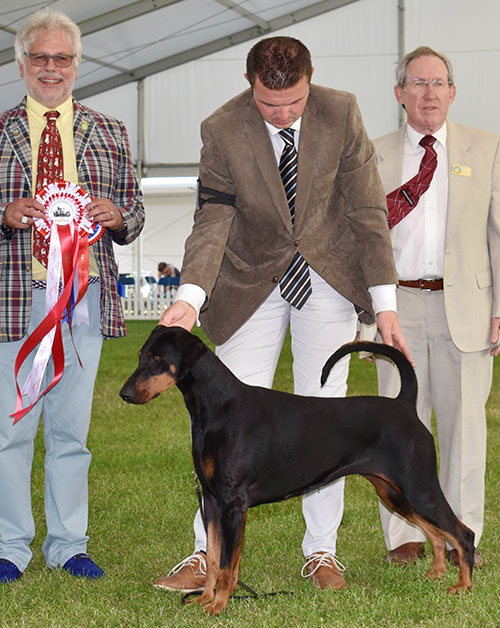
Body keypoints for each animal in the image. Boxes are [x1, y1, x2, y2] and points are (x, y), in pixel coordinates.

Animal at [119, 326, 474, 616]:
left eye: (156, 358)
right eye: (140, 356)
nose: (125, 394)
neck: (216, 408)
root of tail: (404, 403)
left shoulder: (233, 505)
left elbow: (227, 565)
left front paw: (218, 606)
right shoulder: (212, 501)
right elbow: (214, 558)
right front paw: (205, 600)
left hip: (418, 486)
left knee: (462, 533)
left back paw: (463, 586)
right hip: (393, 492)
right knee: (436, 533)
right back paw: (435, 574)